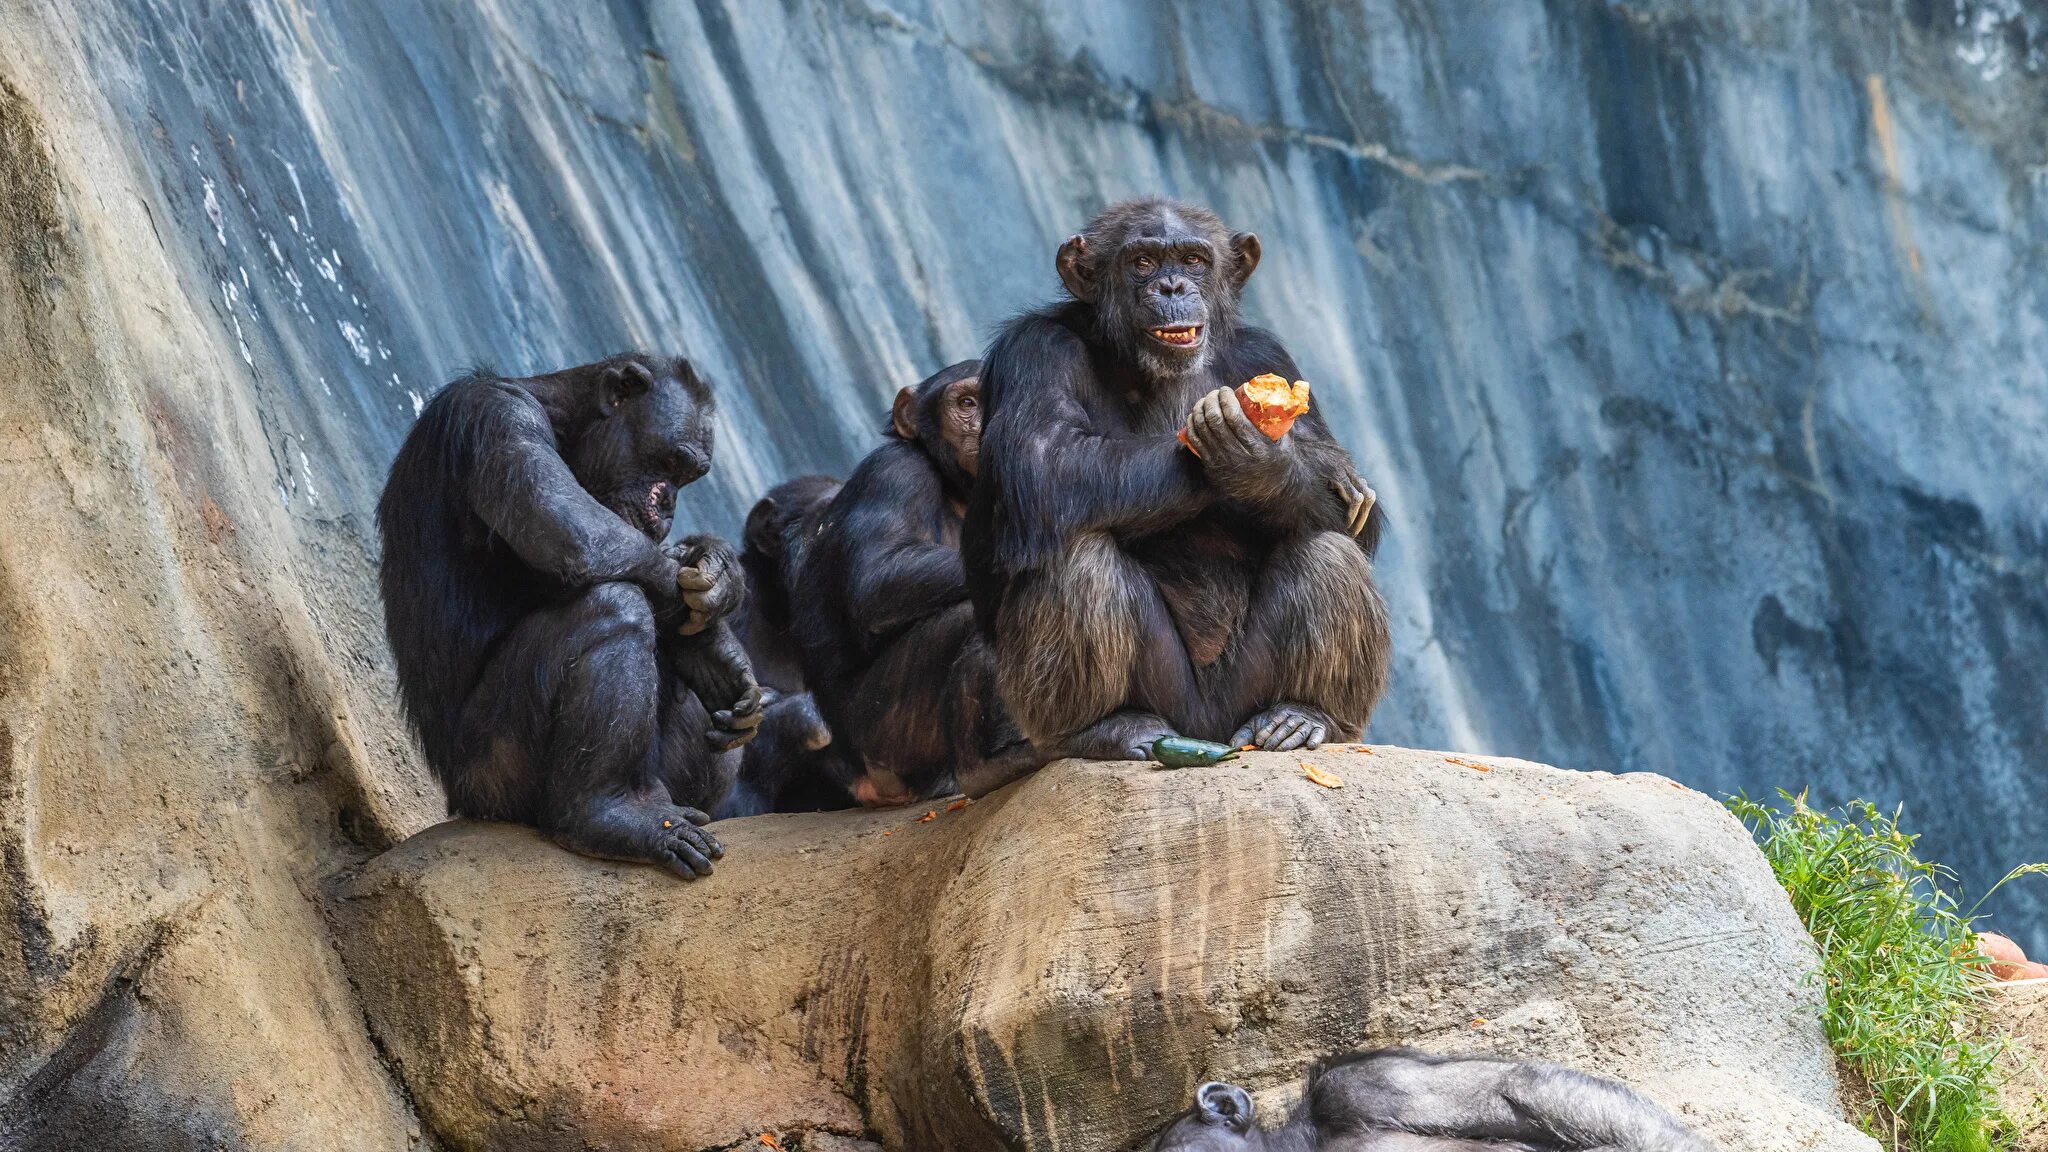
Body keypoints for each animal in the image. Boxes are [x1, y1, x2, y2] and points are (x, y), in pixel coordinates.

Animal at [380, 354, 765, 873]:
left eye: (689, 478)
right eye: (672, 463)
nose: (668, 502)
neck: (563, 421)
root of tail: (459, 801)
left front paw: (719, 612)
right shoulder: (497, 417)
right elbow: (568, 529)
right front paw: (717, 625)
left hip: (660, 786)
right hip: (493, 776)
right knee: (615, 606)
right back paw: (606, 816)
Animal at [790, 356, 1032, 799]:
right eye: (968, 403)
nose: (987, 426)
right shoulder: (893, 474)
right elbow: (879, 578)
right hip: (887, 734)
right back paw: (985, 768)